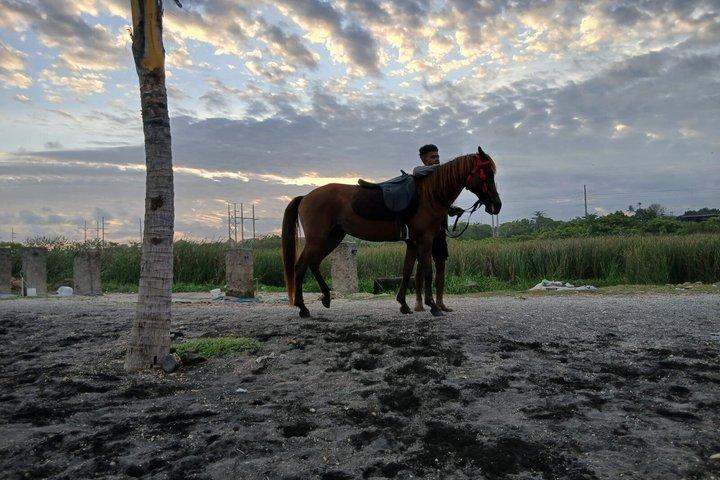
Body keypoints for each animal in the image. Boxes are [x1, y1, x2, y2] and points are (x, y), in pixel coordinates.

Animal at [281, 146, 502, 318]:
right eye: (487, 173)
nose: (496, 205)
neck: (429, 195)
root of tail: (306, 197)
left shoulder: (413, 242)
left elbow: (407, 270)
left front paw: (404, 304)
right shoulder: (425, 240)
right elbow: (427, 271)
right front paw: (432, 306)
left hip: (332, 238)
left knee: (313, 264)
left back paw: (326, 298)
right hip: (317, 239)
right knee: (301, 266)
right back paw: (302, 308)